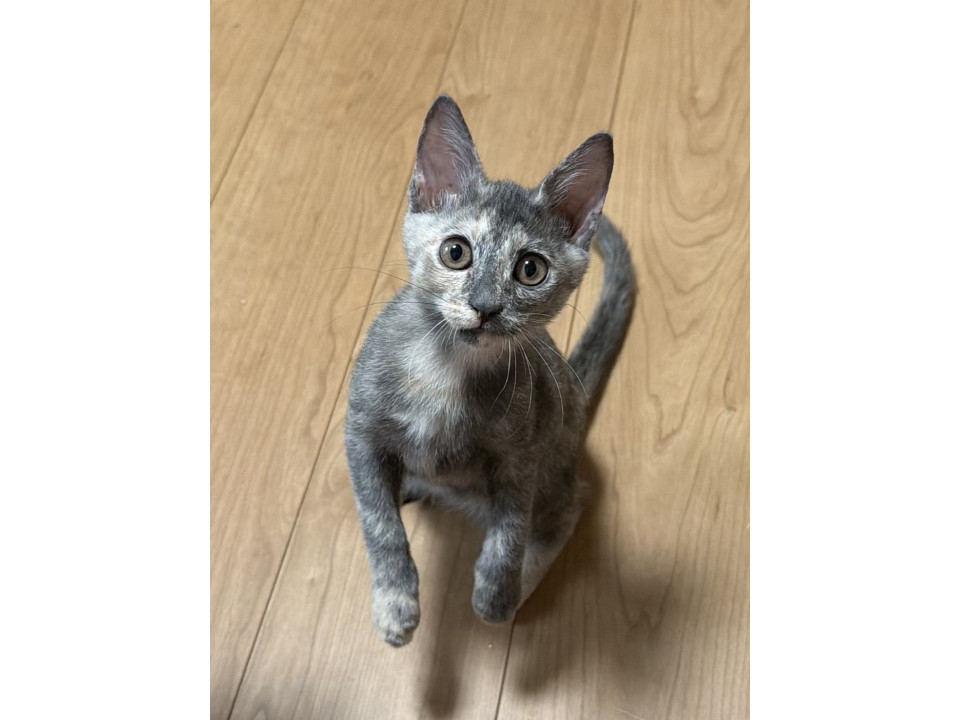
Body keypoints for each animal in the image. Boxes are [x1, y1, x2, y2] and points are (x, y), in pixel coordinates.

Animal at [345, 95, 635, 647]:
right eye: (455, 252)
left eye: (530, 269)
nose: (485, 306)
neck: (444, 373)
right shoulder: (360, 436)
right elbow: (379, 524)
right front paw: (395, 603)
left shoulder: (520, 454)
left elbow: (511, 531)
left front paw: (495, 594)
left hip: (554, 463)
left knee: (568, 509)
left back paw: (520, 586)